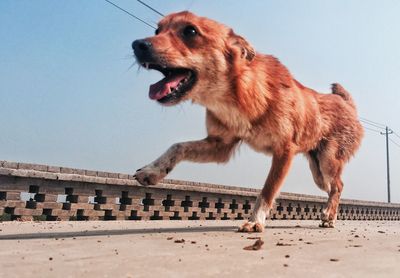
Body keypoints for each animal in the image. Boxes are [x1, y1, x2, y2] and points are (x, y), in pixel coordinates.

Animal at [133, 11, 364, 232]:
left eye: (190, 31)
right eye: (157, 30)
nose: (137, 45)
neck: (238, 94)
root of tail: (347, 104)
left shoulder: (284, 151)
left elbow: (268, 190)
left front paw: (255, 222)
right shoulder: (220, 146)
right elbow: (177, 146)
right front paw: (152, 170)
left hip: (327, 162)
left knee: (338, 186)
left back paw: (329, 216)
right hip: (318, 172)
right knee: (334, 186)